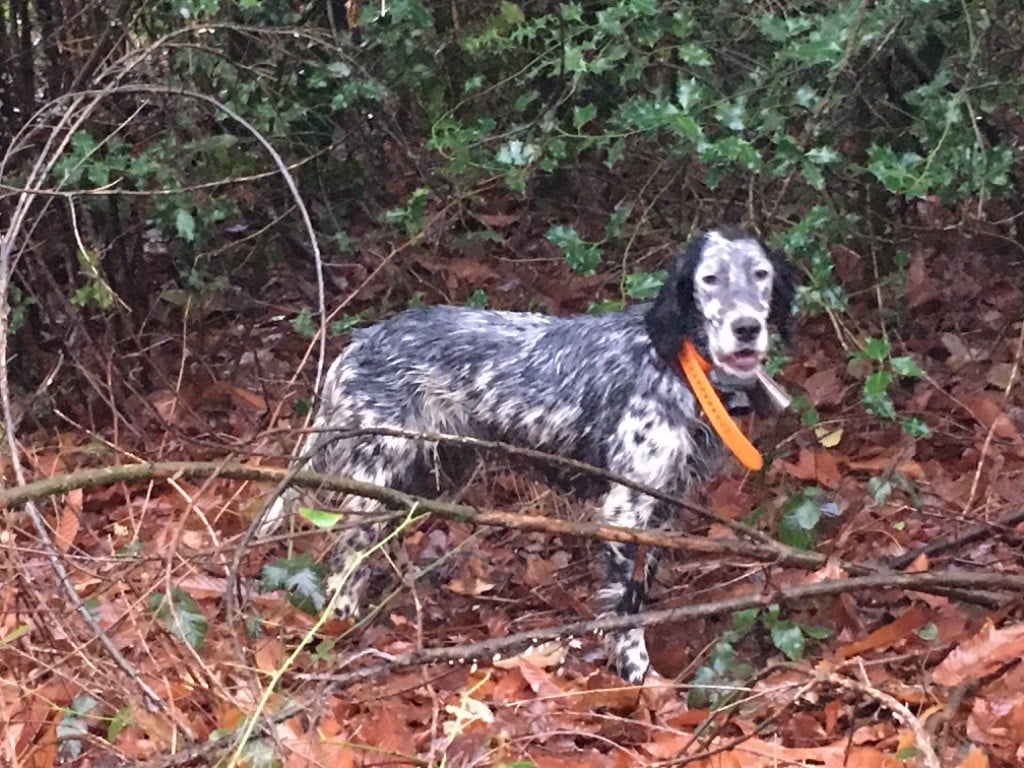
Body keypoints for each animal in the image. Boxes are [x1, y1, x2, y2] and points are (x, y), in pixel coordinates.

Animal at [262, 225, 790, 684]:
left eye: (761, 274)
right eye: (709, 278)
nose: (747, 327)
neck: (678, 362)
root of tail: (357, 345)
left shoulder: (664, 508)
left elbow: (644, 585)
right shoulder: (626, 508)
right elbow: (625, 604)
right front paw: (633, 668)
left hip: (429, 474)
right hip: (376, 475)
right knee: (345, 556)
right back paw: (342, 622)